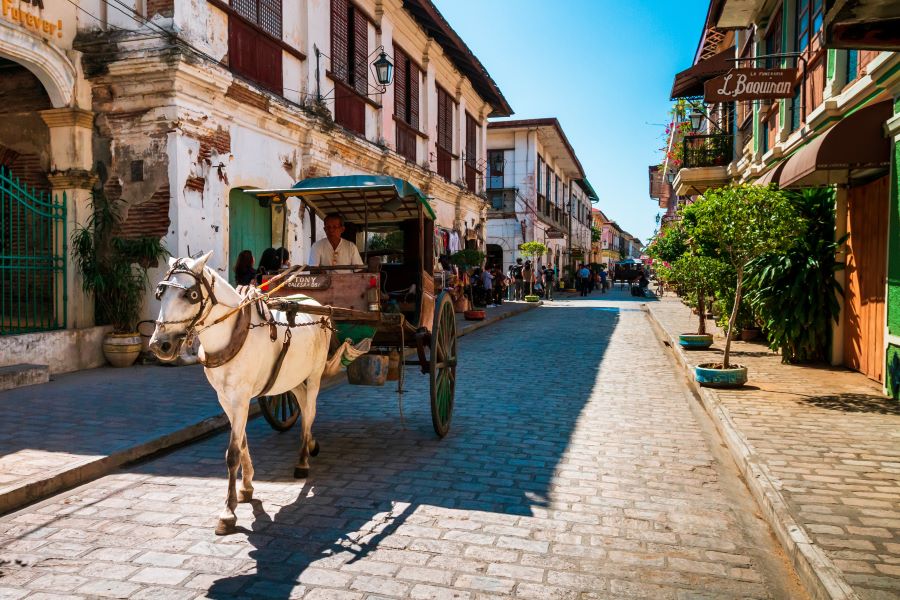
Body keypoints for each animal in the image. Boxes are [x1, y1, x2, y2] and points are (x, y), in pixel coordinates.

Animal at [151, 253, 334, 536]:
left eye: (191, 295)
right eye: (160, 294)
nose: (160, 345)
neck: (232, 334)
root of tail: (316, 304)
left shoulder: (240, 398)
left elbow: (232, 453)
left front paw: (228, 513)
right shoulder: (227, 399)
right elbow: (243, 442)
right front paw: (246, 487)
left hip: (314, 374)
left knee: (311, 409)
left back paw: (303, 460)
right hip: (290, 377)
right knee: (304, 407)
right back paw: (311, 444)